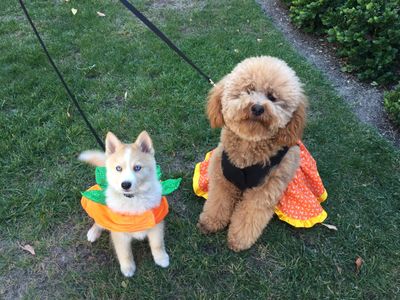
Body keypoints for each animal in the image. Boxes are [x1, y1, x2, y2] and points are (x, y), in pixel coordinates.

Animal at [79, 131, 170, 276]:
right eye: (118, 168)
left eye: (137, 167)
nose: (125, 185)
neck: (133, 199)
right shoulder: (119, 232)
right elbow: (124, 253)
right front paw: (127, 268)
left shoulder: (156, 223)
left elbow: (157, 243)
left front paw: (161, 258)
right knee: (99, 221)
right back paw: (93, 232)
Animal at [197, 55, 306, 251]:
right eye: (248, 90)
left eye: (272, 97)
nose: (257, 108)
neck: (249, 145)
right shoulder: (222, 179)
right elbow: (217, 202)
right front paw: (210, 222)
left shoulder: (264, 191)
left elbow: (250, 215)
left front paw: (238, 240)